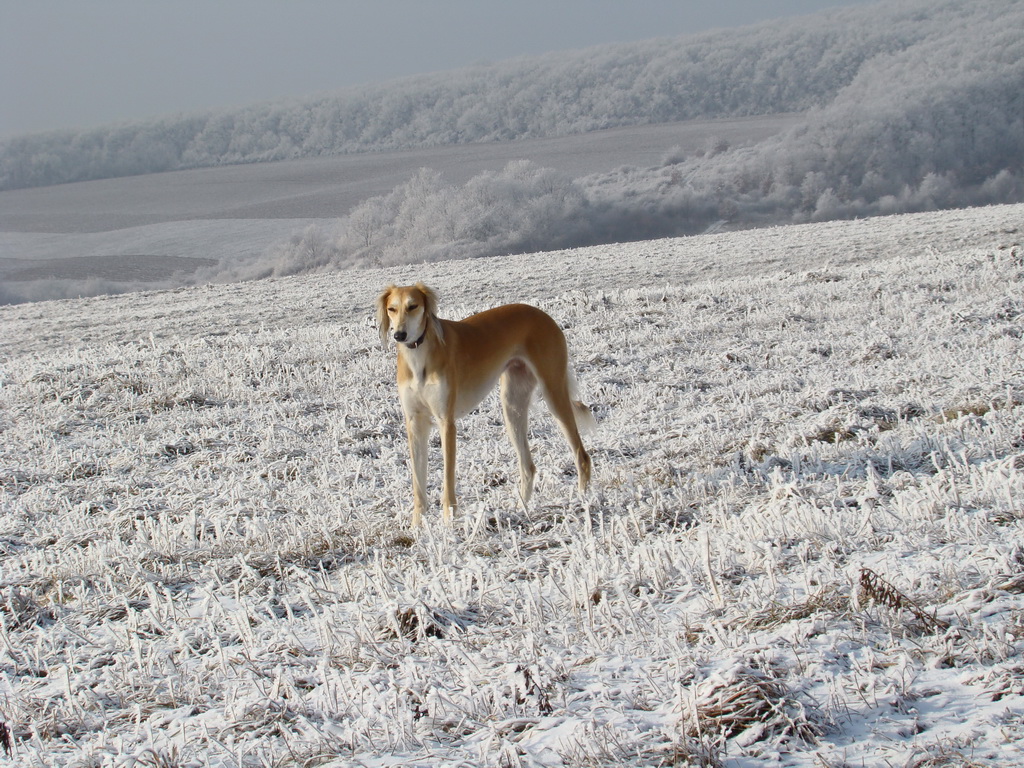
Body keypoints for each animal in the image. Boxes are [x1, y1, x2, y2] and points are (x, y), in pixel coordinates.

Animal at [380, 282, 598, 528]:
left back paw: (582, 500)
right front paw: (418, 526)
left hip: (554, 394)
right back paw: (520, 509)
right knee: (528, 467)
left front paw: (448, 523)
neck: (419, 355)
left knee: (581, 456)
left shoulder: (447, 422)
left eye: (413, 306)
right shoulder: (415, 423)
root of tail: (543, 315)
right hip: (512, 405)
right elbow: (418, 482)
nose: (399, 335)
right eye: (391, 309)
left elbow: (448, 477)